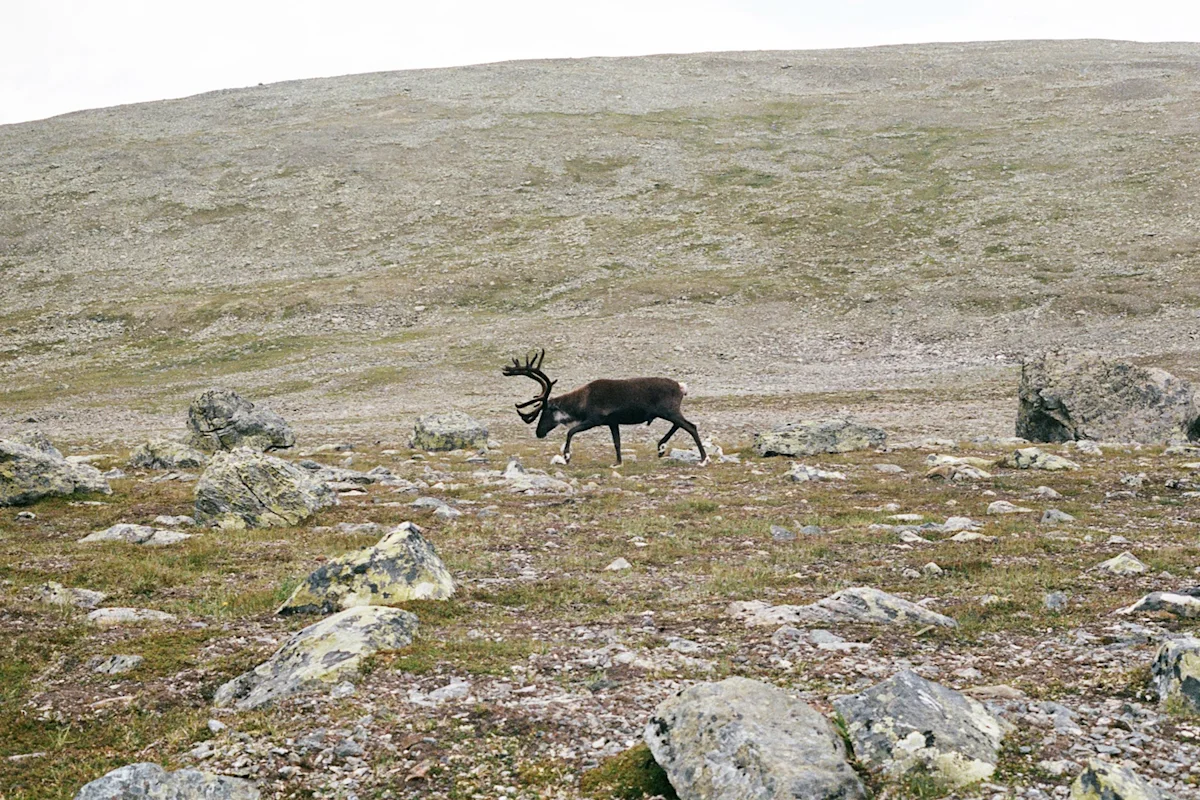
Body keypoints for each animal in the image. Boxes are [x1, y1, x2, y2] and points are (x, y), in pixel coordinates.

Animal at [502, 350, 707, 467]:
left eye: (545, 412)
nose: (539, 433)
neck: (582, 401)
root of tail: (681, 387)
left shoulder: (595, 419)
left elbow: (571, 431)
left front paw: (567, 456)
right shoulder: (612, 422)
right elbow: (617, 442)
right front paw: (618, 462)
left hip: (669, 410)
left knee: (691, 426)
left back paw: (703, 458)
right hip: (668, 412)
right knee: (681, 425)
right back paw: (661, 447)